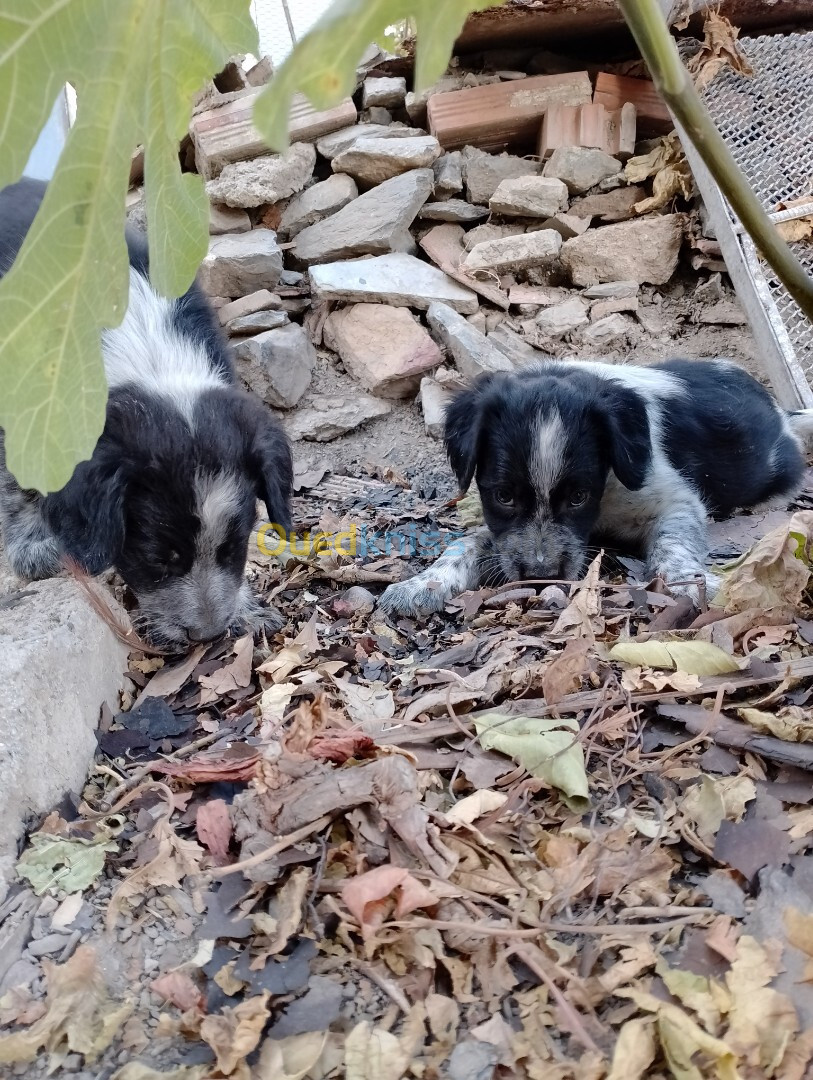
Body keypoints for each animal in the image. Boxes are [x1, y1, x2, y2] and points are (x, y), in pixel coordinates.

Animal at [0, 178, 291, 648]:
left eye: (233, 547)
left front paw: (248, 609)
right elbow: (18, 482)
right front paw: (34, 547)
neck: (146, 348)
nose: (207, 636)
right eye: (159, 557)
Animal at [380, 358, 811, 617]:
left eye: (578, 497)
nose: (541, 574)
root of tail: (778, 410)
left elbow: (674, 544)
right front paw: (421, 584)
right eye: (503, 496)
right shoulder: (504, 534)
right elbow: (465, 543)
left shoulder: (676, 500)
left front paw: (691, 583)